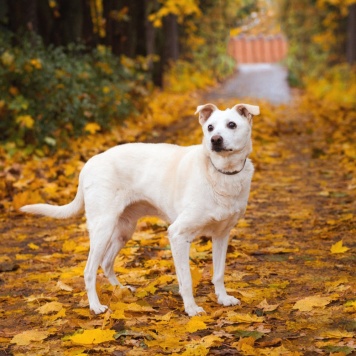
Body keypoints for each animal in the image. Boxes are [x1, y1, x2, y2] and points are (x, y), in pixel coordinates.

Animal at [20, 103, 260, 318]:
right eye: (210, 127)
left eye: (231, 124)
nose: (215, 140)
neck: (221, 172)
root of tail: (89, 163)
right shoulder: (178, 234)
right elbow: (186, 279)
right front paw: (191, 308)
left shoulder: (221, 235)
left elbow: (219, 273)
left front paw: (223, 298)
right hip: (103, 228)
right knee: (89, 270)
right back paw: (95, 306)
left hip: (124, 230)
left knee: (106, 262)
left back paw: (120, 290)